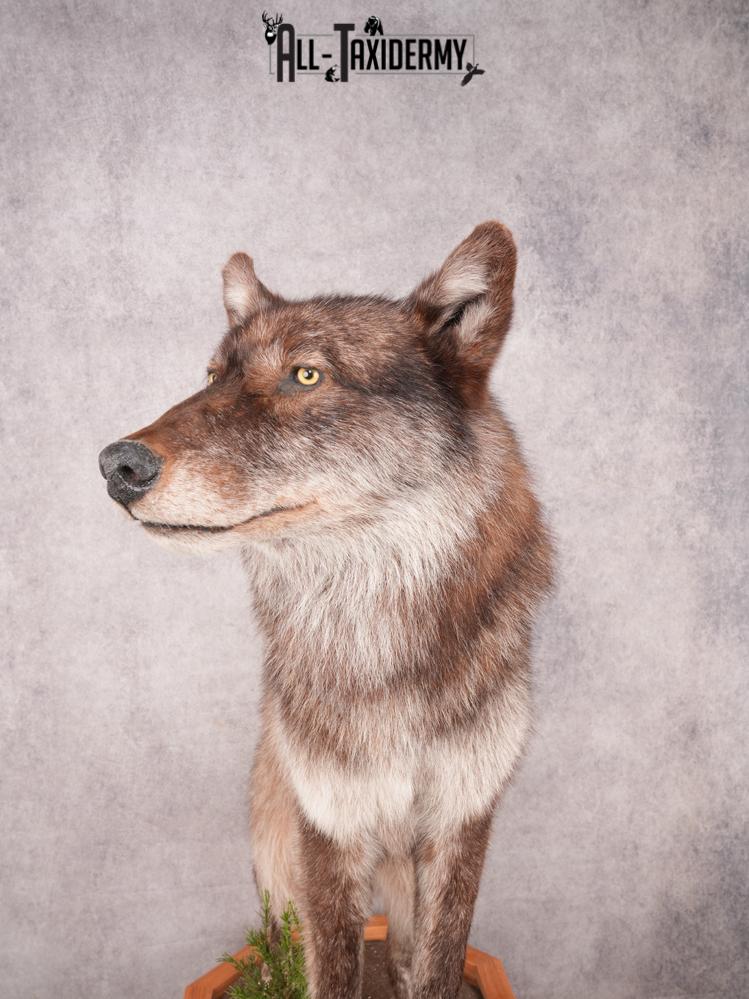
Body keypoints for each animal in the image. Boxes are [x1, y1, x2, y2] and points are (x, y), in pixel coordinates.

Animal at [98, 221, 553, 999]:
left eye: (305, 375)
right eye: (211, 374)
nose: (117, 466)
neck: (374, 640)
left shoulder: (461, 821)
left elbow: (436, 966)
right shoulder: (326, 824)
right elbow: (332, 966)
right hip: (275, 848)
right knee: (282, 941)